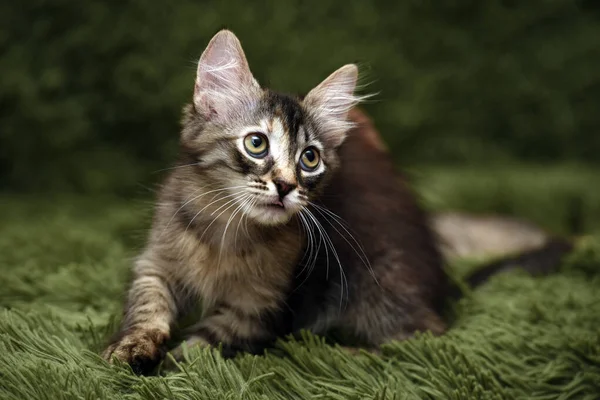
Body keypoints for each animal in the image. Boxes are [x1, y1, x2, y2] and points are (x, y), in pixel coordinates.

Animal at [103, 29, 572, 374]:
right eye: (256, 143)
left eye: (309, 159)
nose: (286, 186)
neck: (227, 231)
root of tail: (439, 280)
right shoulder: (156, 263)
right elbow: (147, 307)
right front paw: (131, 349)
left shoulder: (258, 310)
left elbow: (203, 345)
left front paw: (169, 366)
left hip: (378, 284)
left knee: (423, 339)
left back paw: (342, 356)